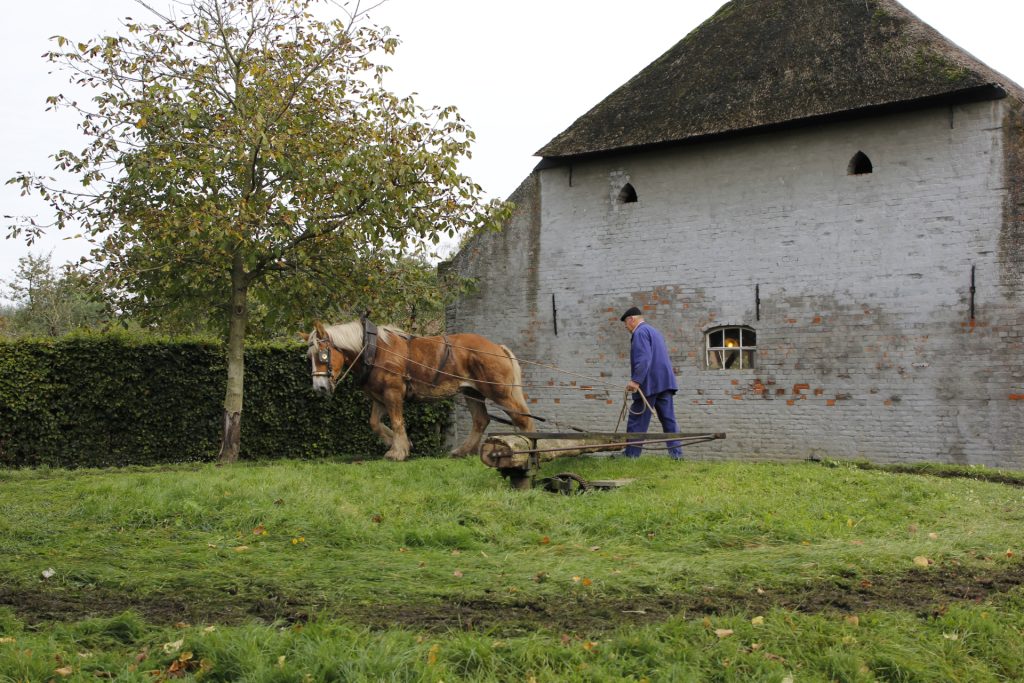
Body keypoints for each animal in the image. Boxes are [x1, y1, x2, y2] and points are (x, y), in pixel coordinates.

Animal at [301, 319, 536, 458]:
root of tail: (497, 348)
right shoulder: (379, 397)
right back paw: (462, 451)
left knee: (523, 418)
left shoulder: (393, 392)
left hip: (499, 391)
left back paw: (530, 449)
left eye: (323, 355)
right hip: (472, 393)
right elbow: (375, 423)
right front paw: (401, 444)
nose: (320, 387)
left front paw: (398, 451)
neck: (374, 350)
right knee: (481, 420)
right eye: (308, 356)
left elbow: (397, 422)